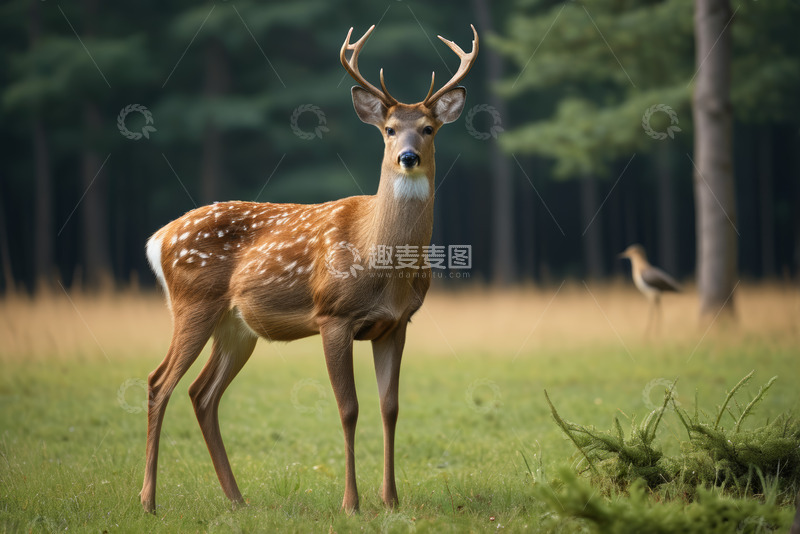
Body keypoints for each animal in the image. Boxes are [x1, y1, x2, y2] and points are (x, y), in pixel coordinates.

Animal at [139, 24, 478, 514]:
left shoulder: (397, 323)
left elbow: (390, 407)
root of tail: (159, 237)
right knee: (159, 382)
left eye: (428, 129)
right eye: (390, 130)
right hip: (193, 303)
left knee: (201, 393)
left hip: (236, 326)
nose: (408, 157)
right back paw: (148, 500)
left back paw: (237, 499)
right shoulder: (332, 315)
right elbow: (348, 408)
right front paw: (351, 503)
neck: (380, 260)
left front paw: (391, 500)